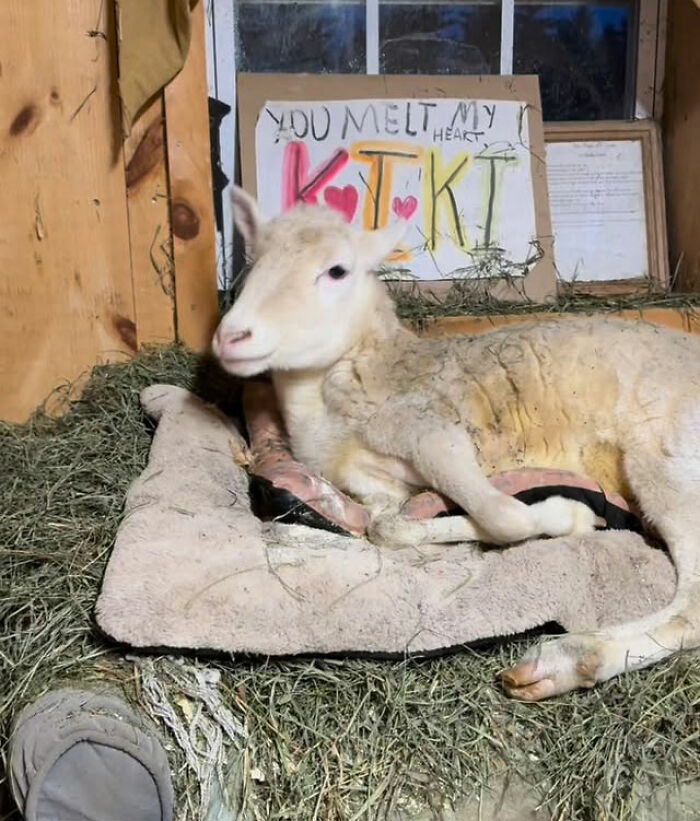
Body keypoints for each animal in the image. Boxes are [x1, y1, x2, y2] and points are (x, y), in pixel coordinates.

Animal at [212, 185, 700, 701]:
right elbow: (384, 528)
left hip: (665, 462)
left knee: (691, 607)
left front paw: (569, 516)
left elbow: (504, 517)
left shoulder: (432, 432)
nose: (231, 336)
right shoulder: (371, 483)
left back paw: (565, 660)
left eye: (337, 270)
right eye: (253, 260)